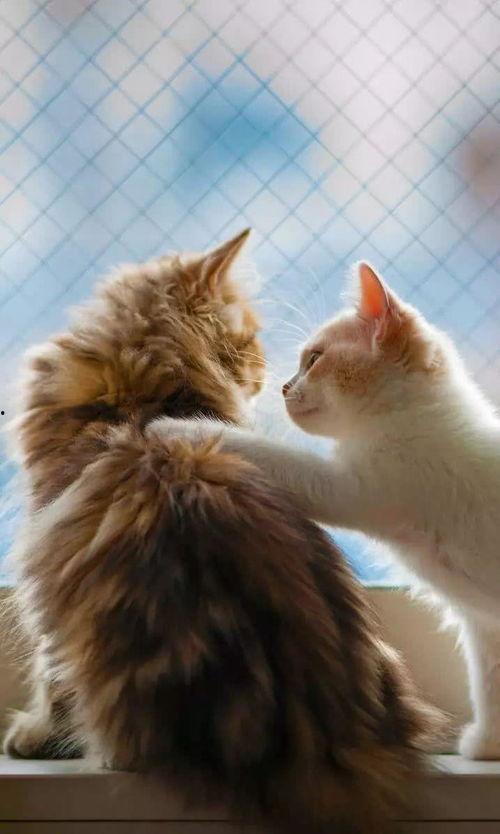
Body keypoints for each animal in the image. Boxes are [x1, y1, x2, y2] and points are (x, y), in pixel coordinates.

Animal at [3, 237, 440, 833]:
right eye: (250, 339)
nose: (266, 374)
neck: (139, 396)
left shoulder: (43, 549)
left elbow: (50, 674)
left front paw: (34, 734)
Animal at [156, 260, 500, 761]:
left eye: (314, 359)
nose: (284, 387)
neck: (418, 417)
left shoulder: (346, 488)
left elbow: (266, 455)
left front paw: (174, 427)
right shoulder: (484, 623)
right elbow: (488, 683)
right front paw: (487, 745)